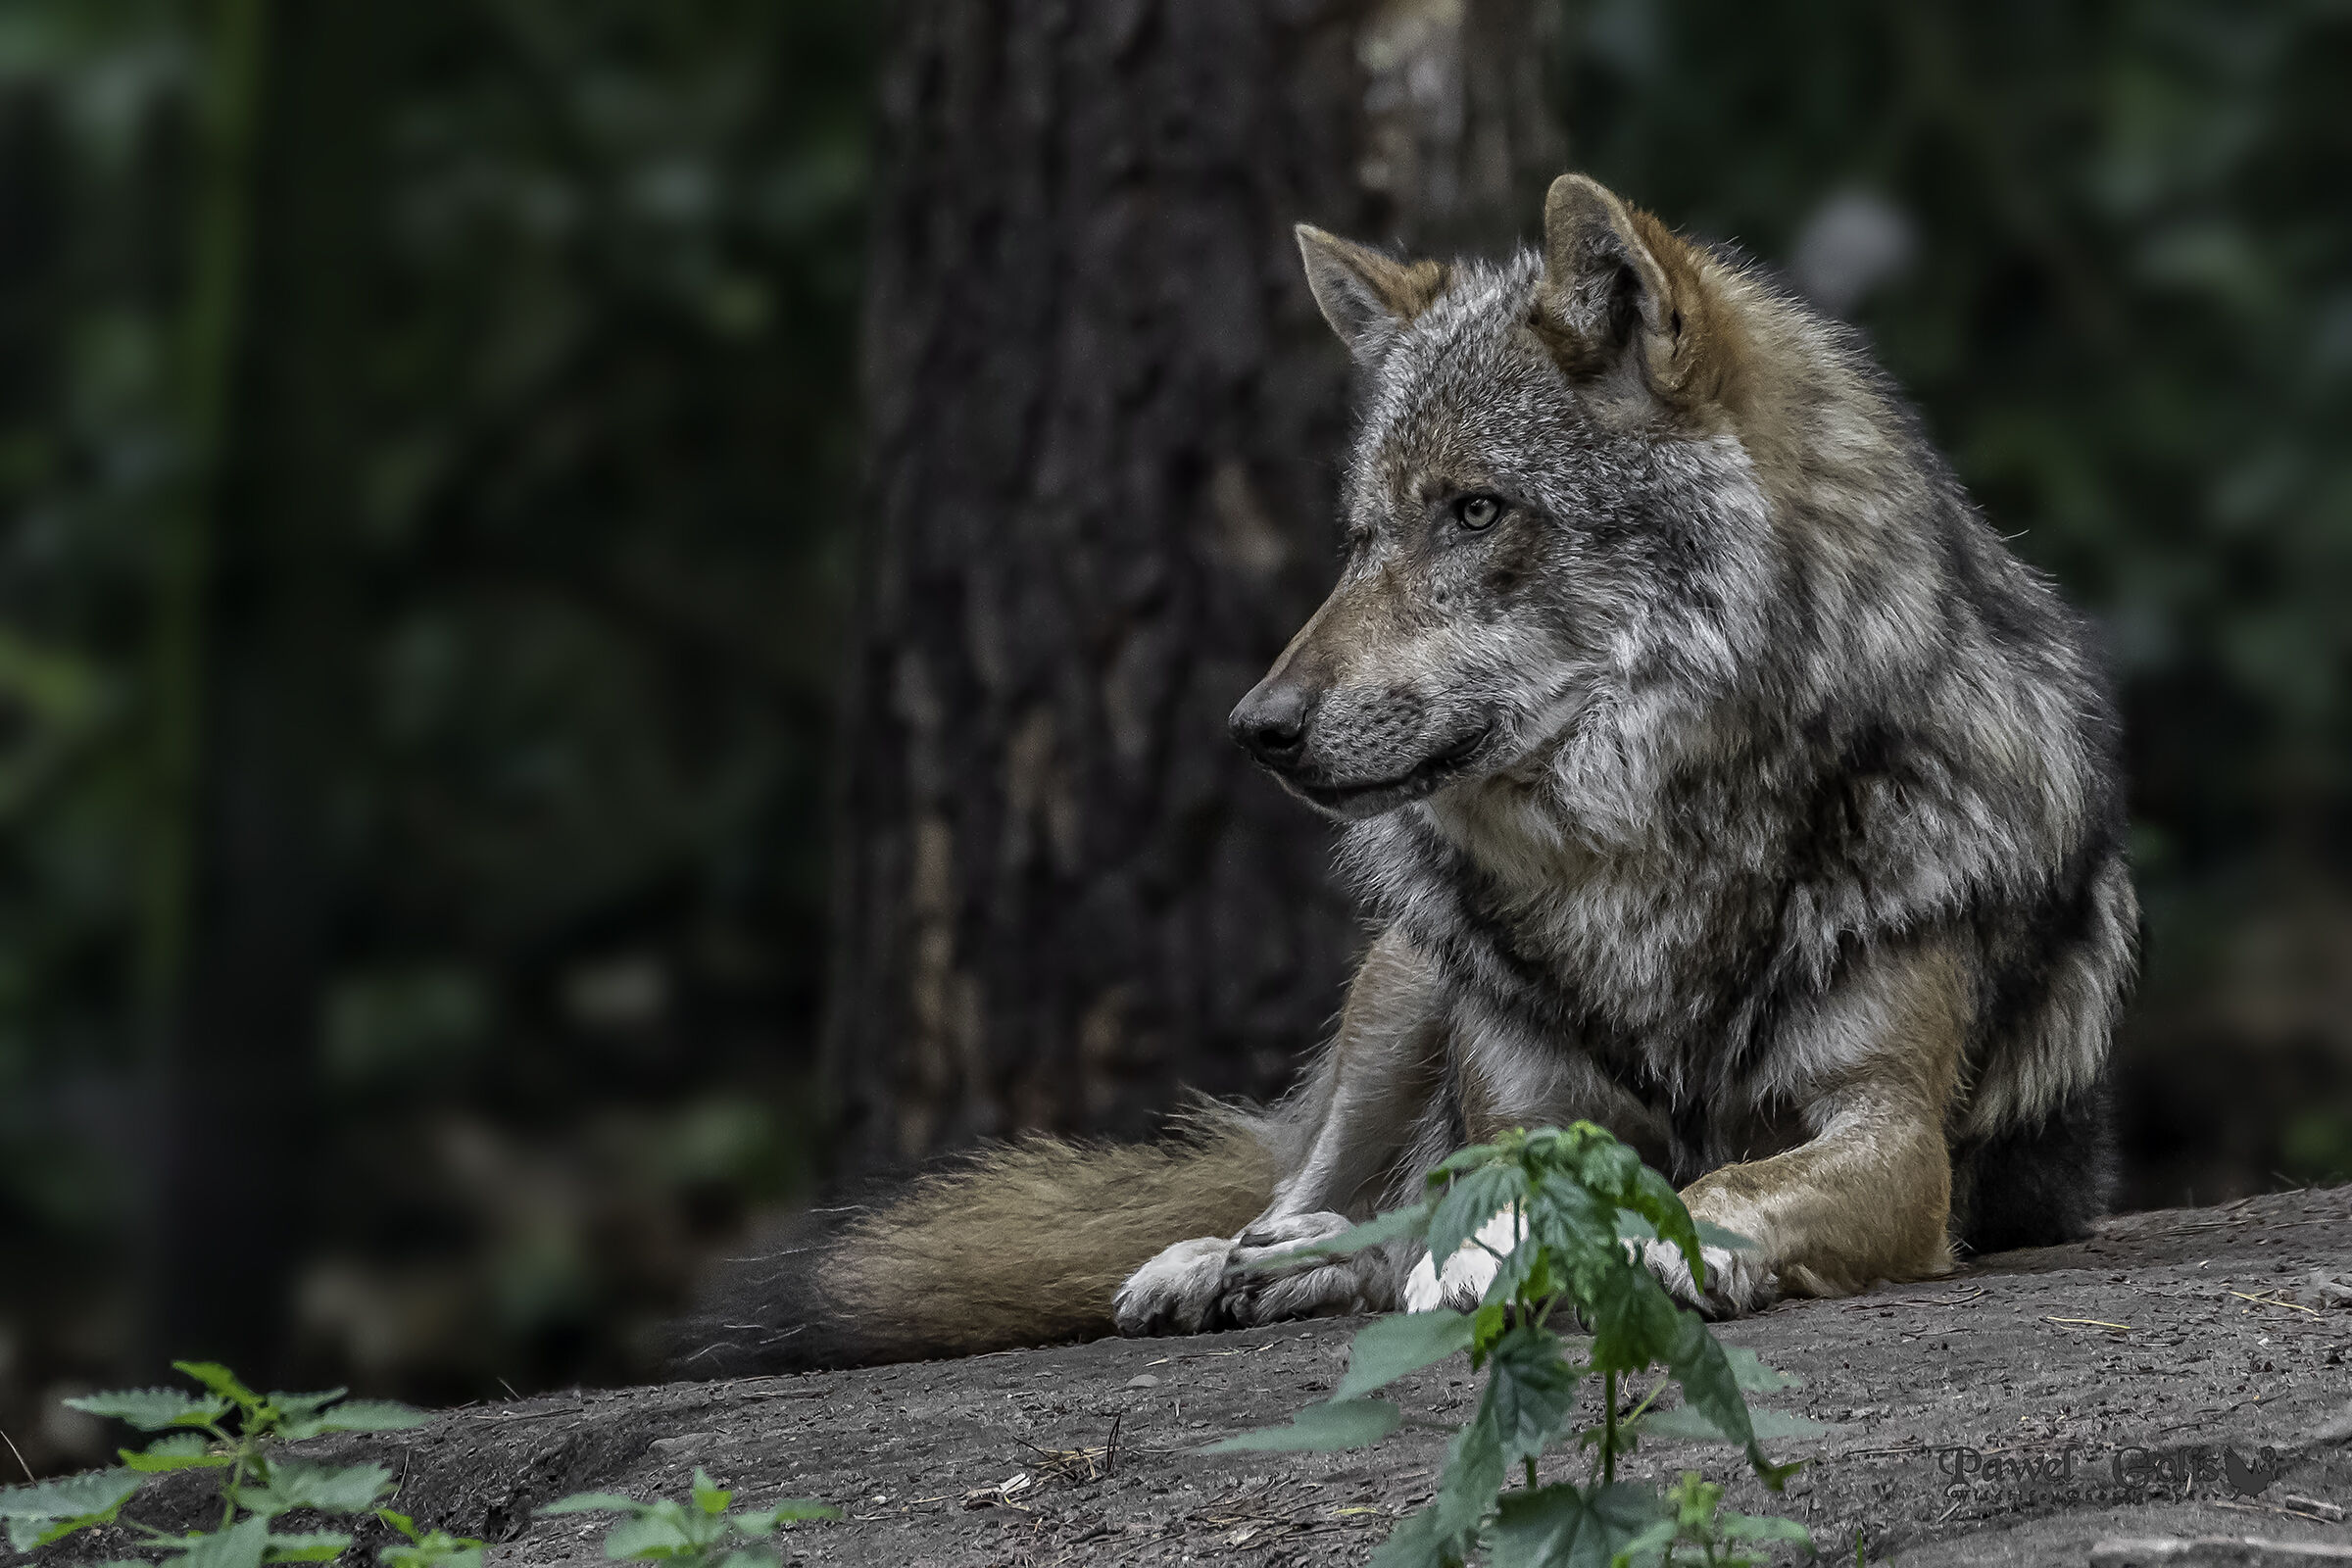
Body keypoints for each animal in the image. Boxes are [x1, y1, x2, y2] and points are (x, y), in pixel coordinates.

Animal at [673, 172, 2134, 1373]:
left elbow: (1729, 1183)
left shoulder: (1894, 1135)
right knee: (1313, 1200)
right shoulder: (1520, 1103)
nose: (1256, 726)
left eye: (1476, 510)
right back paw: (1225, 1262)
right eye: (1361, 536)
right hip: (1407, 977)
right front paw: (1482, 1242)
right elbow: (1485, 1180)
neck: (1649, 863)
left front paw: (1649, 1239)